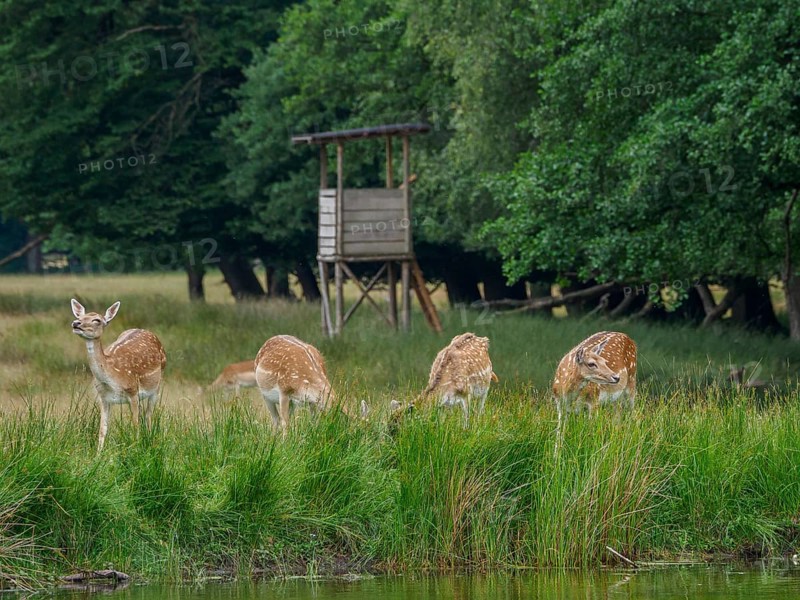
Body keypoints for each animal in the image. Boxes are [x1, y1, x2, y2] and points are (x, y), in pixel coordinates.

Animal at [70, 299, 167, 451]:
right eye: (80, 317)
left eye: (97, 320)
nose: (76, 323)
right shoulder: (103, 397)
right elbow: (102, 429)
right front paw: (98, 454)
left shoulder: (133, 391)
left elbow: (135, 426)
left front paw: (136, 450)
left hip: (156, 386)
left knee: (148, 416)